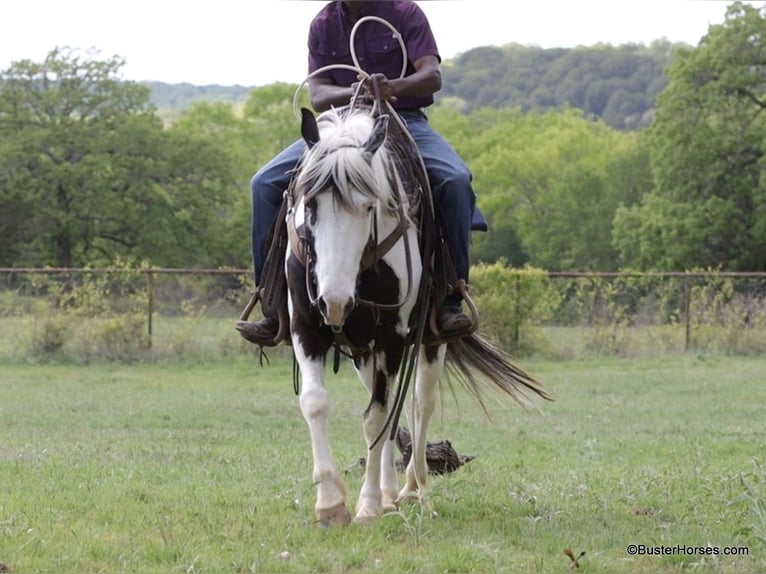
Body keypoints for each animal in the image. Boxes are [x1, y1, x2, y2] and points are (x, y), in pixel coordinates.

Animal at [278, 101, 551, 526]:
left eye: (368, 206)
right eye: (310, 205)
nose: (335, 303)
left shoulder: (392, 337)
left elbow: (378, 416)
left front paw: (368, 505)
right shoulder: (306, 328)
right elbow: (316, 403)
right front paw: (331, 504)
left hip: (429, 341)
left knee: (419, 402)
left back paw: (410, 489)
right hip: (363, 352)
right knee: (395, 407)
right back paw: (391, 494)